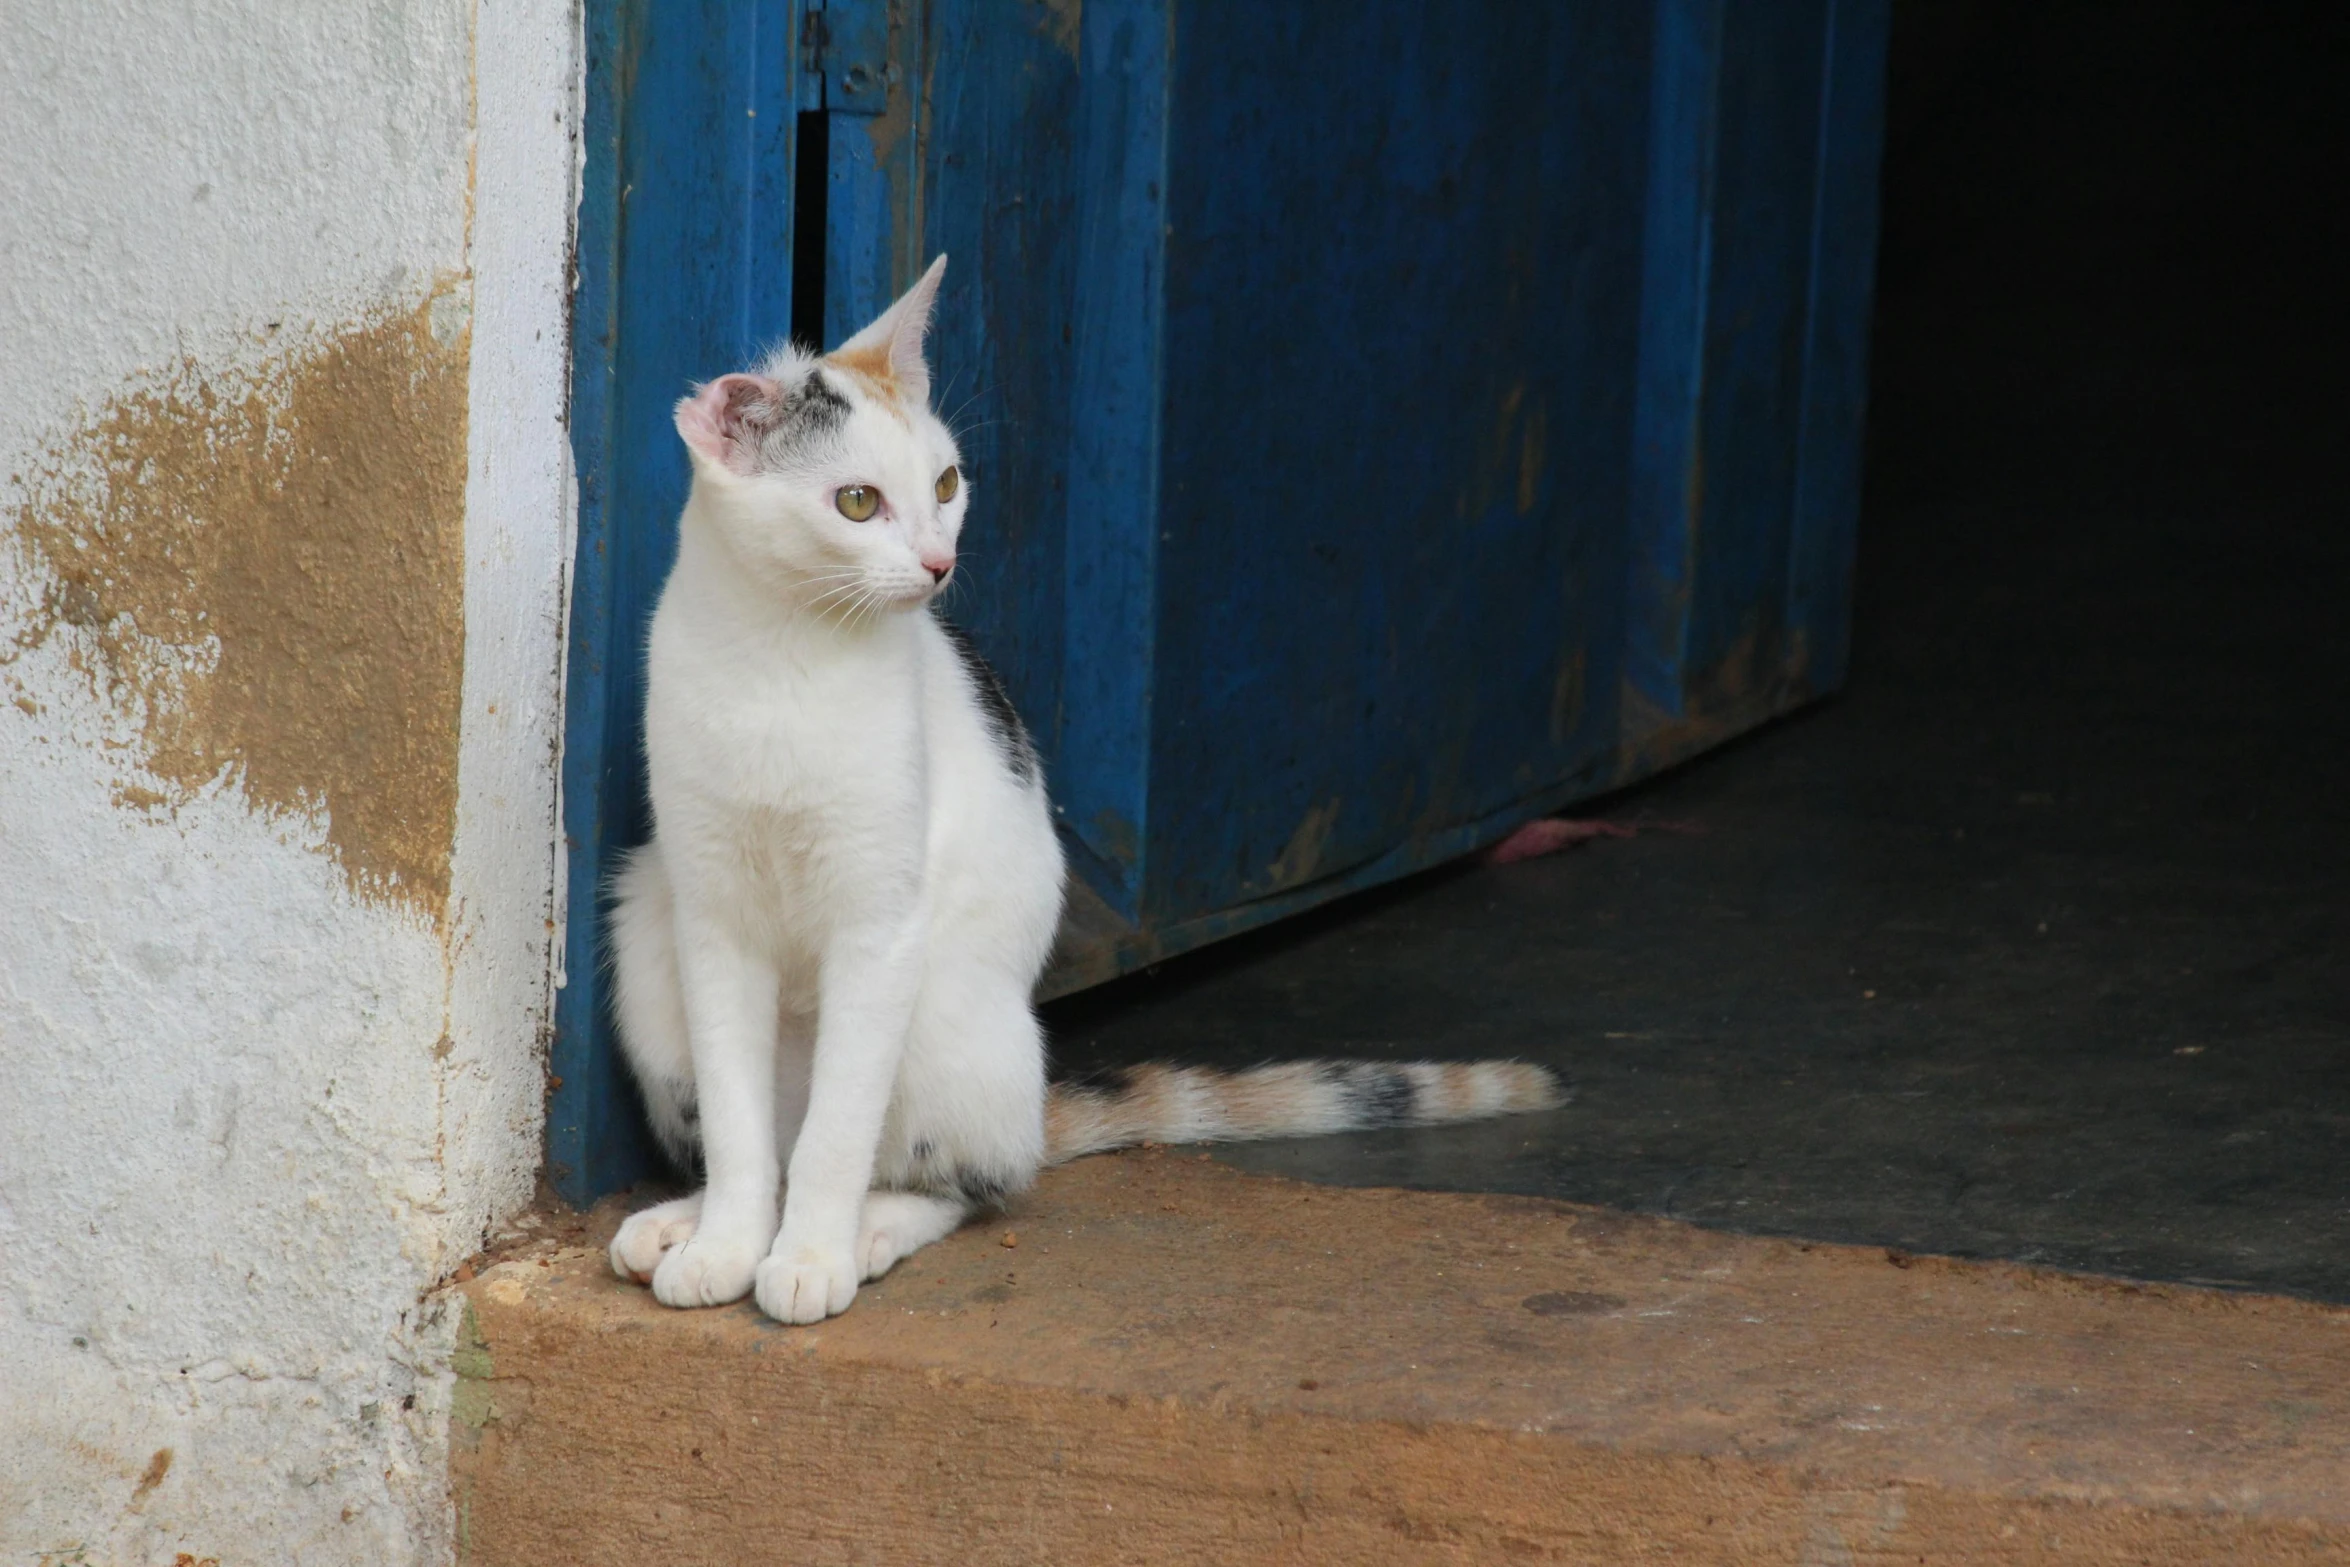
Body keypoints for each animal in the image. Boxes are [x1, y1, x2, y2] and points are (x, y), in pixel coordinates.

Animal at [606, 257, 1560, 1325]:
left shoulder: (880, 921)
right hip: (645, 943)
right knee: (769, 1130)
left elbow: (838, 1133)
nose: (938, 561)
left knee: (970, 1176)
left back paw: (872, 1227)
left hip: (945, 1008)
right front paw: (727, 1241)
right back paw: (680, 1220)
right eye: (856, 502)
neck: (782, 653)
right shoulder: (710, 914)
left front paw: (809, 1254)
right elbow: (740, 1127)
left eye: (946, 484)